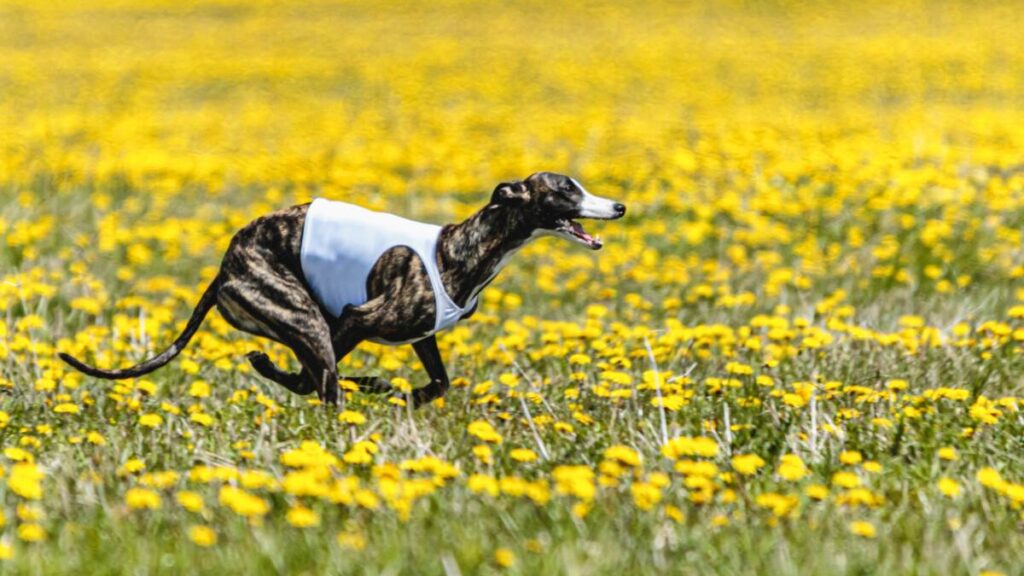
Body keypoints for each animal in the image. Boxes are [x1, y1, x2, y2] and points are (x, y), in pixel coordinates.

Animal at [64, 170, 626, 403]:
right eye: (565, 189)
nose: (619, 206)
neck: (457, 249)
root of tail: (225, 268)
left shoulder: (422, 336)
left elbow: (440, 384)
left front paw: (406, 395)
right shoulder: (358, 317)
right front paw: (388, 390)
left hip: (300, 323)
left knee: (310, 377)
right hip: (304, 316)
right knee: (315, 381)